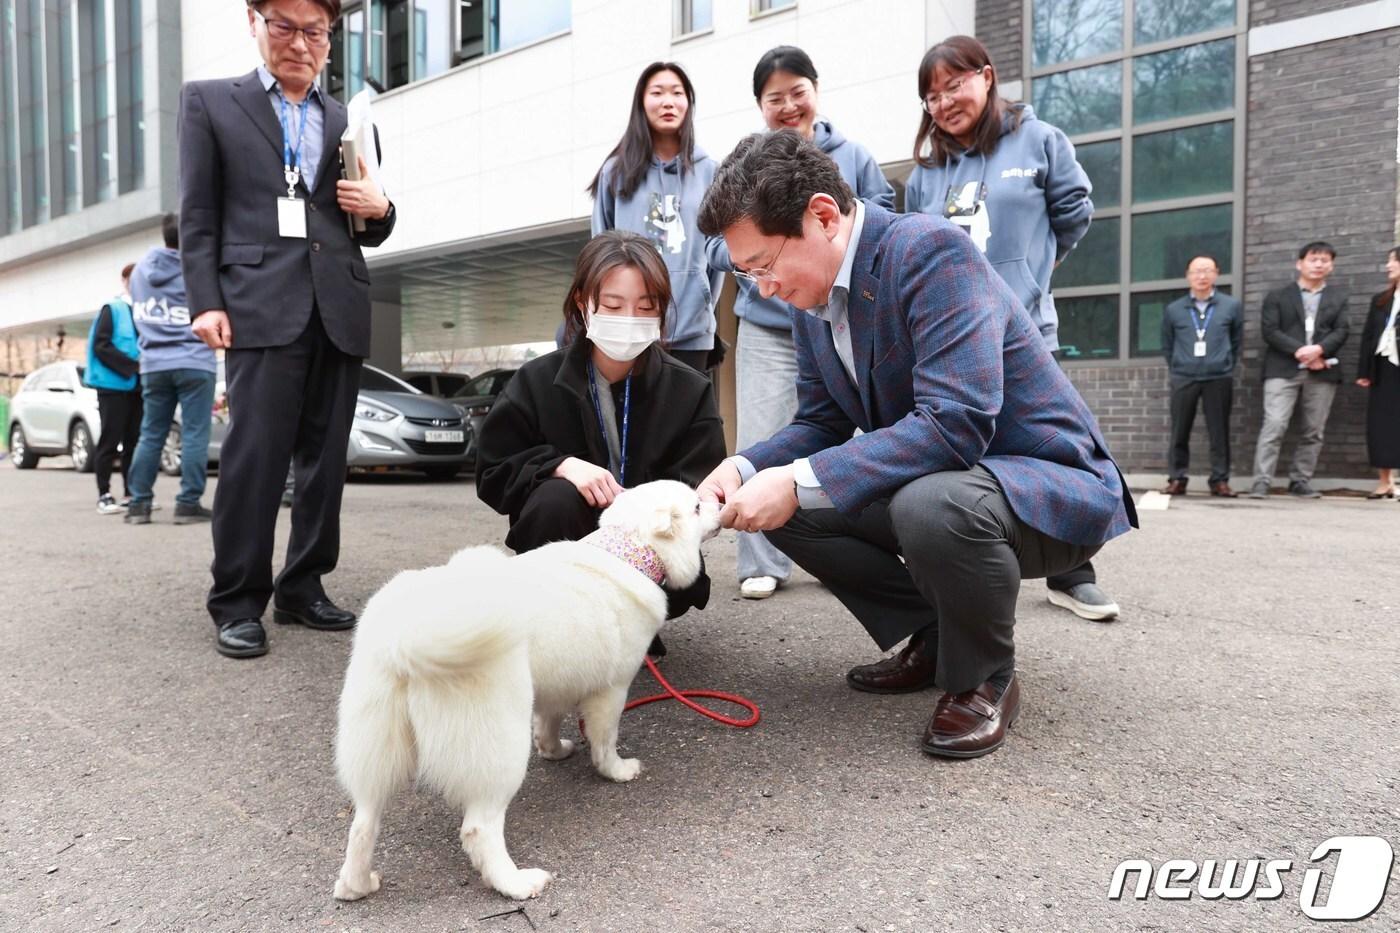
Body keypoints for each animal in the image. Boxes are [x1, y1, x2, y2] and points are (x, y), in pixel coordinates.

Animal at [331, 476, 716, 896]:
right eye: (697, 506)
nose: (720, 500)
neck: (628, 550)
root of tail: (406, 640)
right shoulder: (612, 690)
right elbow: (604, 742)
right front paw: (617, 771)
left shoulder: (556, 687)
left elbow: (548, 724)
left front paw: (554, 751)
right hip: (499, 747)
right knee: (478, 827)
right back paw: (515, 883)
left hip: (377, 745)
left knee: (362, 823)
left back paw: (356, 885)